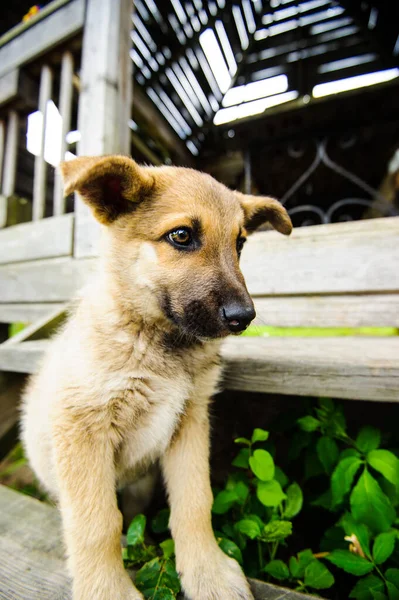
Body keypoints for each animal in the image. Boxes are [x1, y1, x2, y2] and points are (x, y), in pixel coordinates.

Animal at [20, 156, 292, 600]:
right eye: (181, 236)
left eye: (240, 244)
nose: (244, 318)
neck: (157, 341)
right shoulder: (82, 428)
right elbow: (97, 522)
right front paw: (107, 589)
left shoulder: (190, 420)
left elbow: (195, 501)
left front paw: (207, 572)